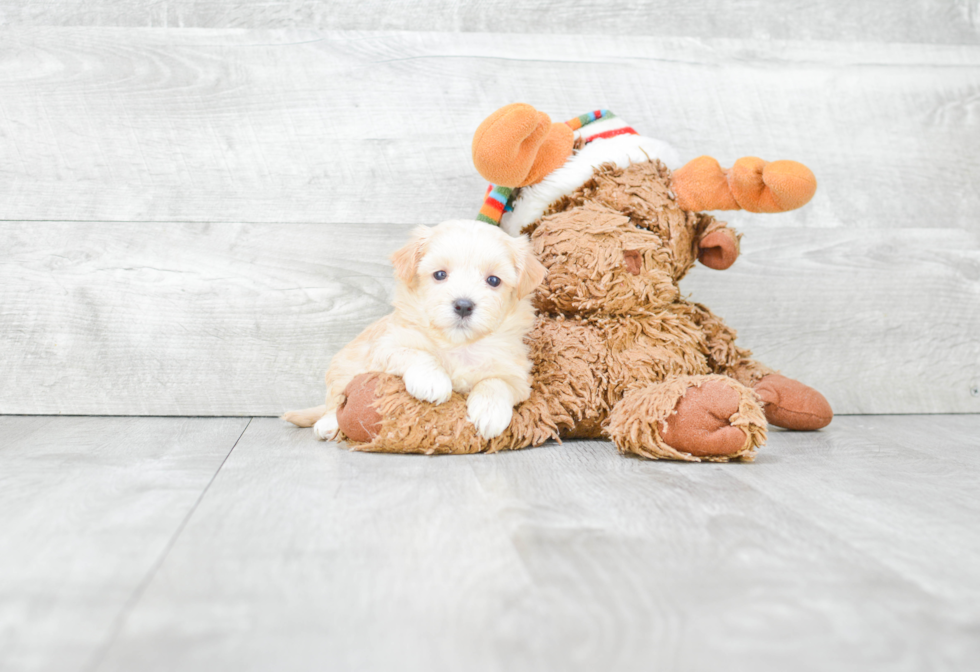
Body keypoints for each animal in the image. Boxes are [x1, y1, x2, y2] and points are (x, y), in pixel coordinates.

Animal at [280, 219, 548, 440]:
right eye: (439, 275)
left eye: (493, 280)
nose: (463, 305)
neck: (458, 344)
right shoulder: (386, 345)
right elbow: (417, 353)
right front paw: (432, 381)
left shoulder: (517, 374)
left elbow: (497, 382)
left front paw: (489, 412)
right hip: (343, 368)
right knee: (334, 402)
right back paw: (328, 424)